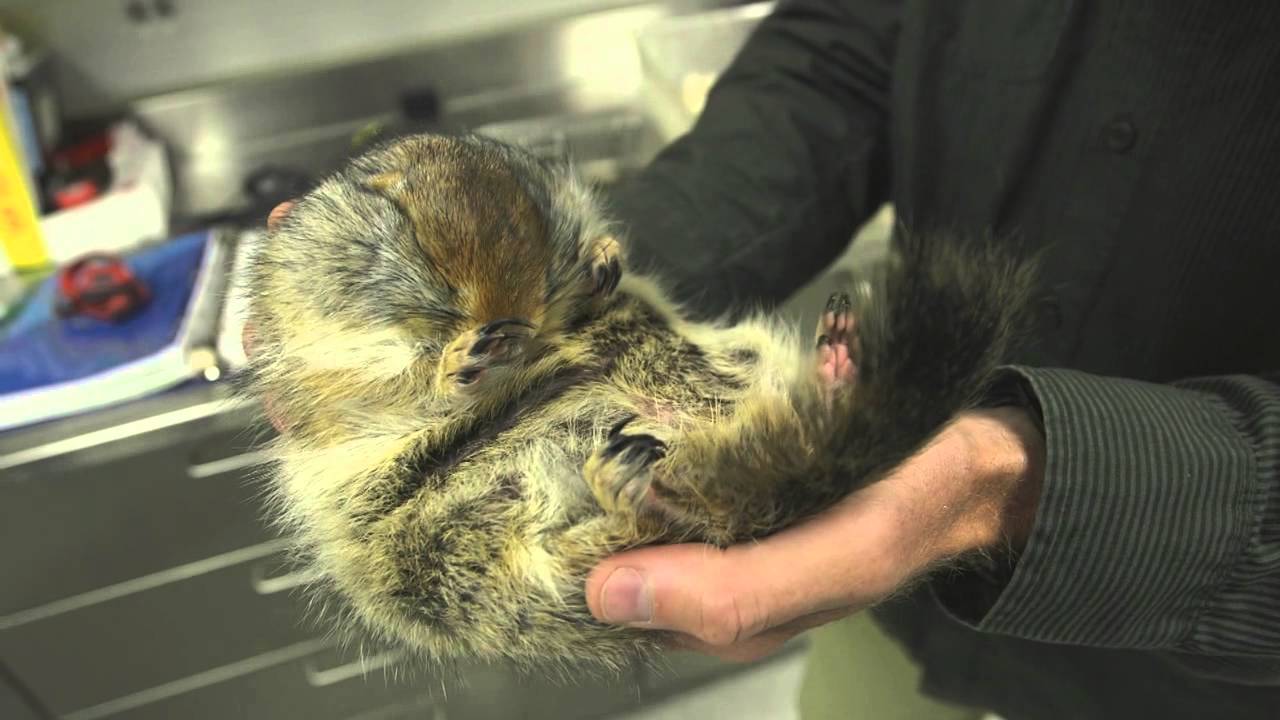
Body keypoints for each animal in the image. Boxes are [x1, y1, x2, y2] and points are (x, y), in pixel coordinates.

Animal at [237, 132, 1034, 678]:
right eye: (428, 267)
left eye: (546, 262)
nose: (505, 327)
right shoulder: (321, 356)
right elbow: (381, 385)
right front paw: (464, 361)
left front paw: (600, 269)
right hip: (440, 558)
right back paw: (631, 489)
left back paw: (835, 363)